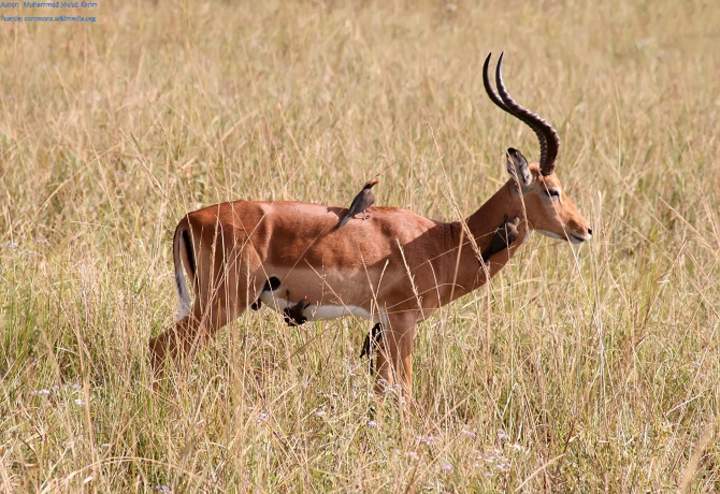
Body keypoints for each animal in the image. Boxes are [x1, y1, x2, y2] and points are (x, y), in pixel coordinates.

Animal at [148, 52, 592, 398]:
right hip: (221, 303)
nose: (585, 230)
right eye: (552, 189)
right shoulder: (402, 322)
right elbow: (404, 392)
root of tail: (189, 219)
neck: (443, 240)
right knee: (161, 347)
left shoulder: (381, 326)